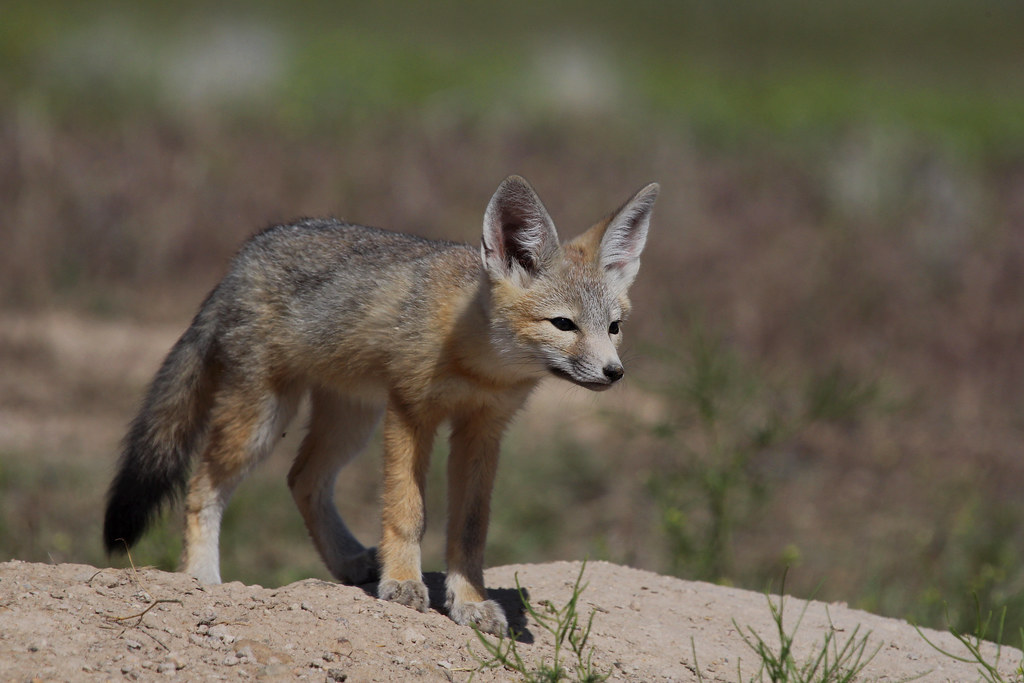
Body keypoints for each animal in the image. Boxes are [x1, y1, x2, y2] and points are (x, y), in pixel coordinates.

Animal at [103, 175, 658, 634]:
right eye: (563, 324)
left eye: (614, 327)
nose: (614, 373)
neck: (478, 364)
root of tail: (247, 253)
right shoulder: (410, 412)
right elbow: (406, 510)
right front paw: (404, 584)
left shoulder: (483, 430)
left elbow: (470, 529)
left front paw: (470, 602)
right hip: (263, 418)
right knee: (202, 485)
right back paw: (201, 576)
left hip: (351, 420)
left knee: (302, 479)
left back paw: (347, 561)